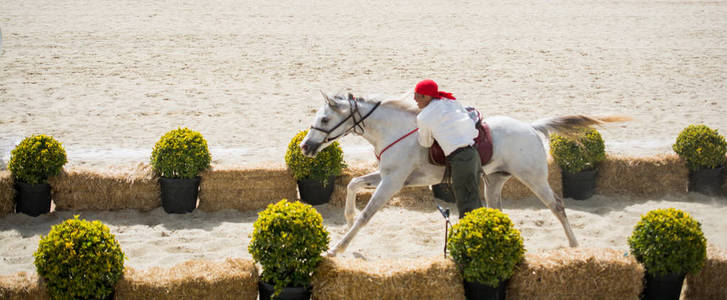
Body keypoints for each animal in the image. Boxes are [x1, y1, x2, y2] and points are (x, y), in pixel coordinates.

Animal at [302, 91, 624, 255]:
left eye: (325, 119)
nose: (306, 147)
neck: (397, 130)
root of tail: (532, 128)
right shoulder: (389, 176)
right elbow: (354, 185)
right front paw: (347, 217)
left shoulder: (393, 182)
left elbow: (367, 214)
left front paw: (338, 248)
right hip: (494, 181)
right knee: (498, 210)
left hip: (533, 178)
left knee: (557, 206)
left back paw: (574, 246)